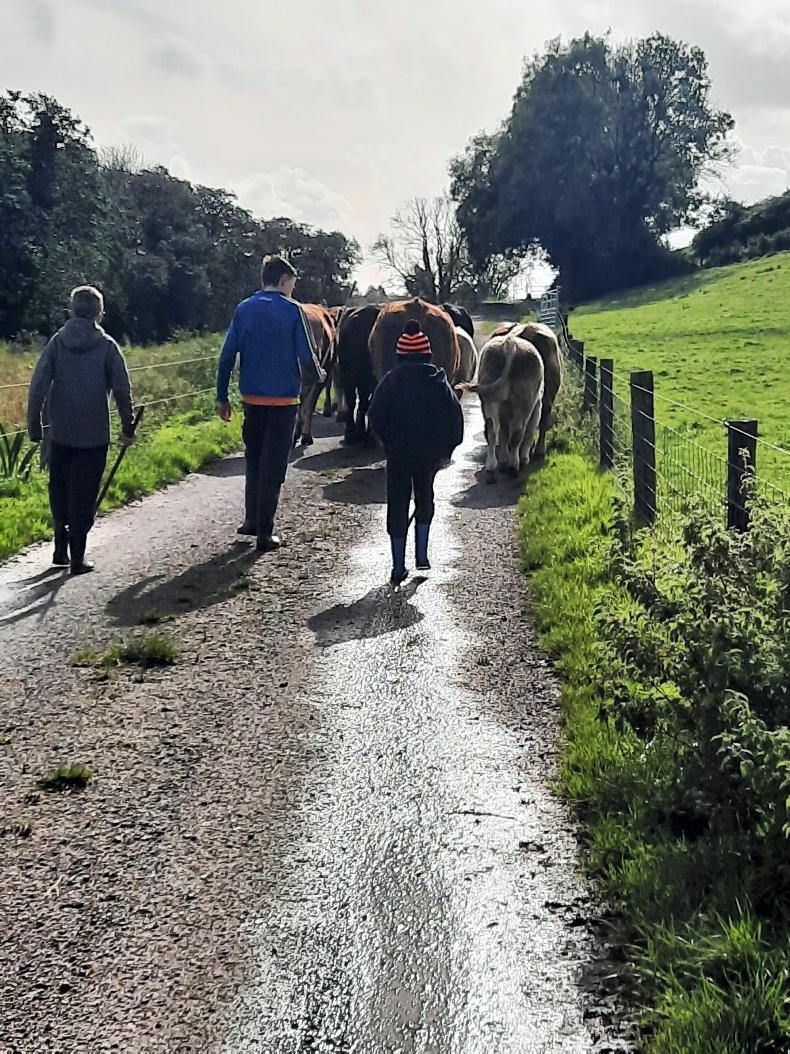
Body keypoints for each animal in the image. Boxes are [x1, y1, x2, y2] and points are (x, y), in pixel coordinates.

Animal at [468, 332, 545, 483]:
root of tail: (510, 343)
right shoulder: (537, 407)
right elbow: (529, 432)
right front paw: (524, 458)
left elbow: (503, 433)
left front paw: (503, 460)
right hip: (524, 403)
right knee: (517, 433)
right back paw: (514, 466)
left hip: (489, 400)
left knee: (491, 431)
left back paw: (492, 468)